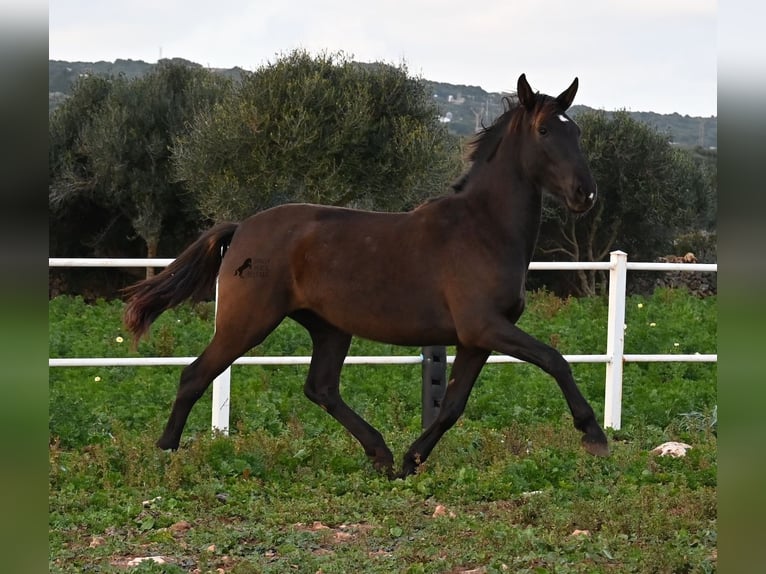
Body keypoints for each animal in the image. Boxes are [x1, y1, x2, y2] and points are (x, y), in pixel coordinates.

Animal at [124, 73, 612, 482]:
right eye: (545, 130)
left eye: (576, 132)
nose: (585, 194)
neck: (483, 229)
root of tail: (241, 228)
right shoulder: (485, 327)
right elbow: (555, 359)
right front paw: (594, 435)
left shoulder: (475, 339)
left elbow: (452, 406)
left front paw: (412, 460)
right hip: (247, 322)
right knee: (195, 375)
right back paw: (165, 452)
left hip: (330, 329)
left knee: (320, 387)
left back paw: (381, 454)